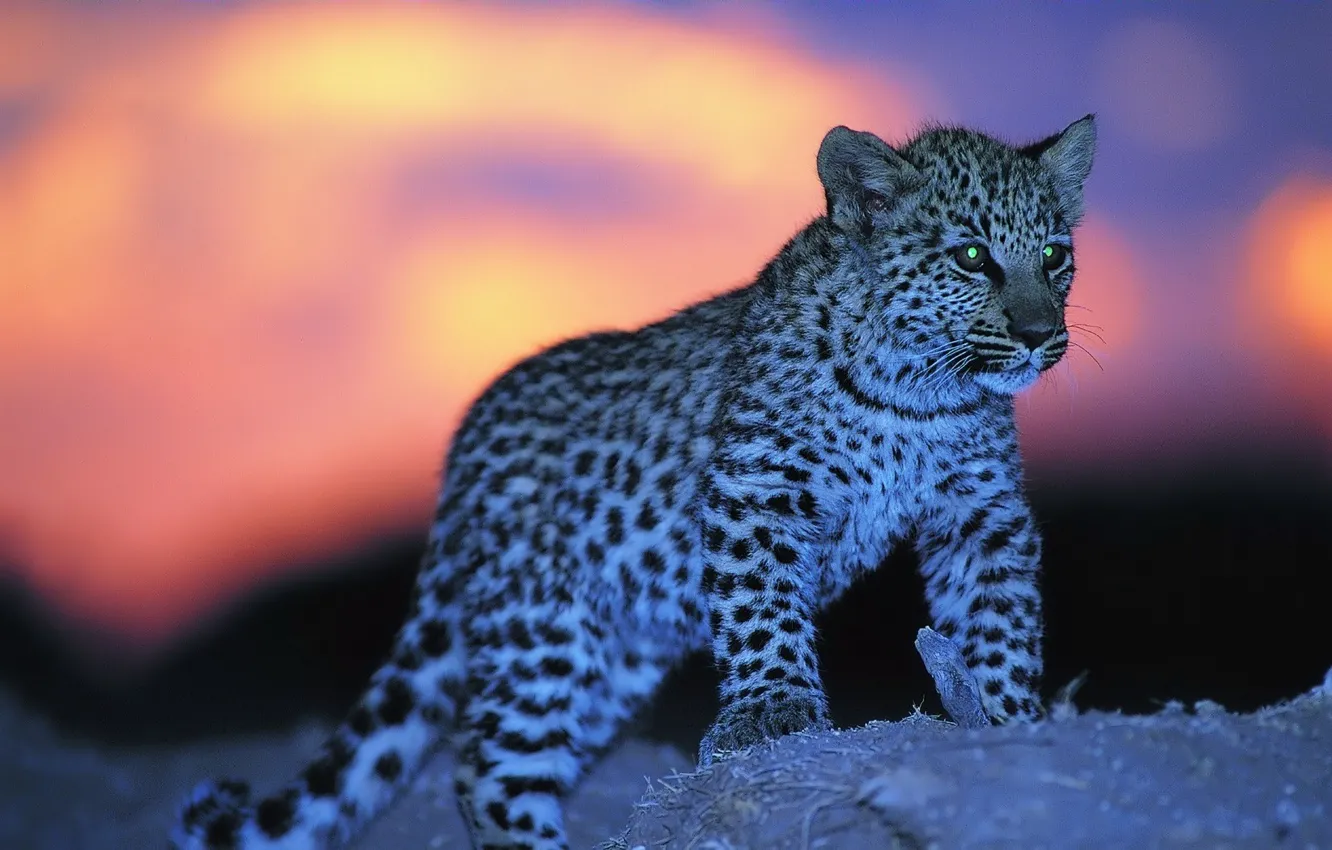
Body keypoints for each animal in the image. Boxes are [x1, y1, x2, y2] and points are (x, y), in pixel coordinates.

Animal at [172, 114, 1097, 850]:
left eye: (1055, 258)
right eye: (972, 257)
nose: (1038, 335)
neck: (921, 389)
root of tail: (462, 450)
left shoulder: (983, 513)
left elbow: (999, 616)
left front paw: (1006, 722)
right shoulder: (756, 487)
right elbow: (764, 614)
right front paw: (774, 711)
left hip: (615, 652)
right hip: (542, 629)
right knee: (487, 767)